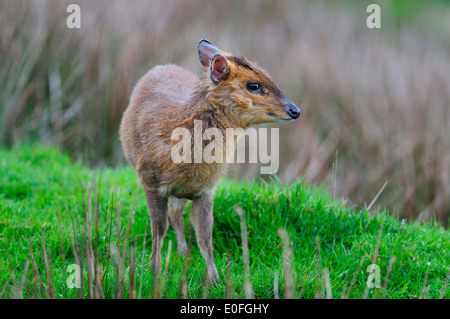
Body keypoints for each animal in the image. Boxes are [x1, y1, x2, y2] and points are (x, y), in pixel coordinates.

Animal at [119, 38, 302, 284]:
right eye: (253, 85)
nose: (295, 110)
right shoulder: (150, 178)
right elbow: (159, 227)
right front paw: (154, 270)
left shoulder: (206, 190)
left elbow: (205, 237)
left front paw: (215, 279)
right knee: (172, 217)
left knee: (177, 214)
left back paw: (184, 253)